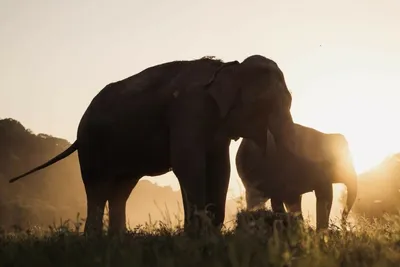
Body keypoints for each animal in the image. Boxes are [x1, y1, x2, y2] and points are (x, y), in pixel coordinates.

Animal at [7, 54, 318, 237]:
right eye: (267, 104)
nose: (283, 220)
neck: (228, 67)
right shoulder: (188, 113)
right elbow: (188, 165)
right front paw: (197, 234)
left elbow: (220, 167)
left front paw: (211, 232)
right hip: (92, 145)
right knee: (97, 188)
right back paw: (94, 240)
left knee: (121, 190)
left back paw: (119, 239)